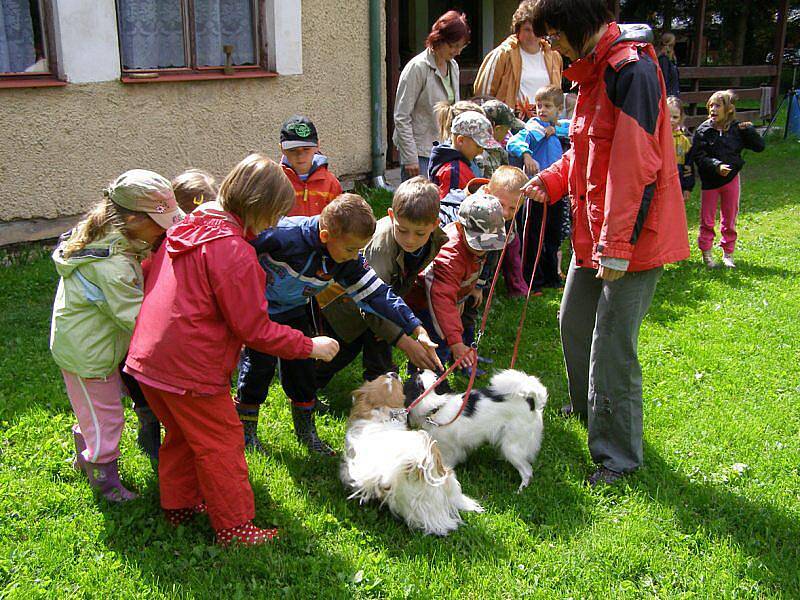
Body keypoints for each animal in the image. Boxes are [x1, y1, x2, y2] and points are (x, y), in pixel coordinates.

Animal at [404, 368, 548, 490]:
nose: (420, 368)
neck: (437, 408)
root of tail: (531, 402)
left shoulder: (449, 450)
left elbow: (445, 466)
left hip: (512, 448)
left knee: (527, 471)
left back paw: (520, 490)